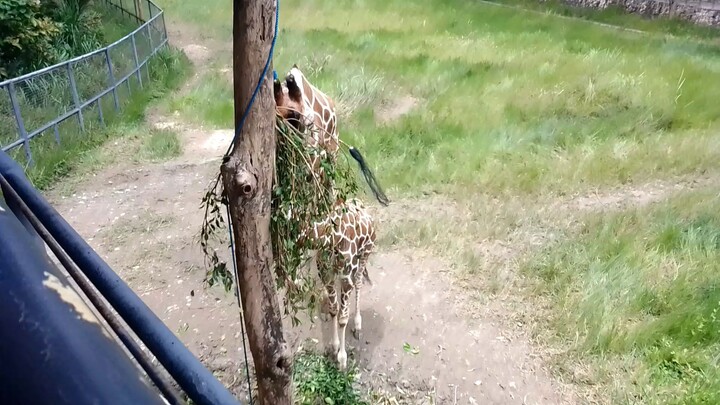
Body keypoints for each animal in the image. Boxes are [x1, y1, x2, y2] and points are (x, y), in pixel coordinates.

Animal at [298, 197, 376, 371]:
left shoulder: (346, 277)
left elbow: (343, 318)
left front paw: (342, 360)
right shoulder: (326, 274)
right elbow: (334, 310)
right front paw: (334, 347)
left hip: (366, 252)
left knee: (359, 282)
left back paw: (358, 326)